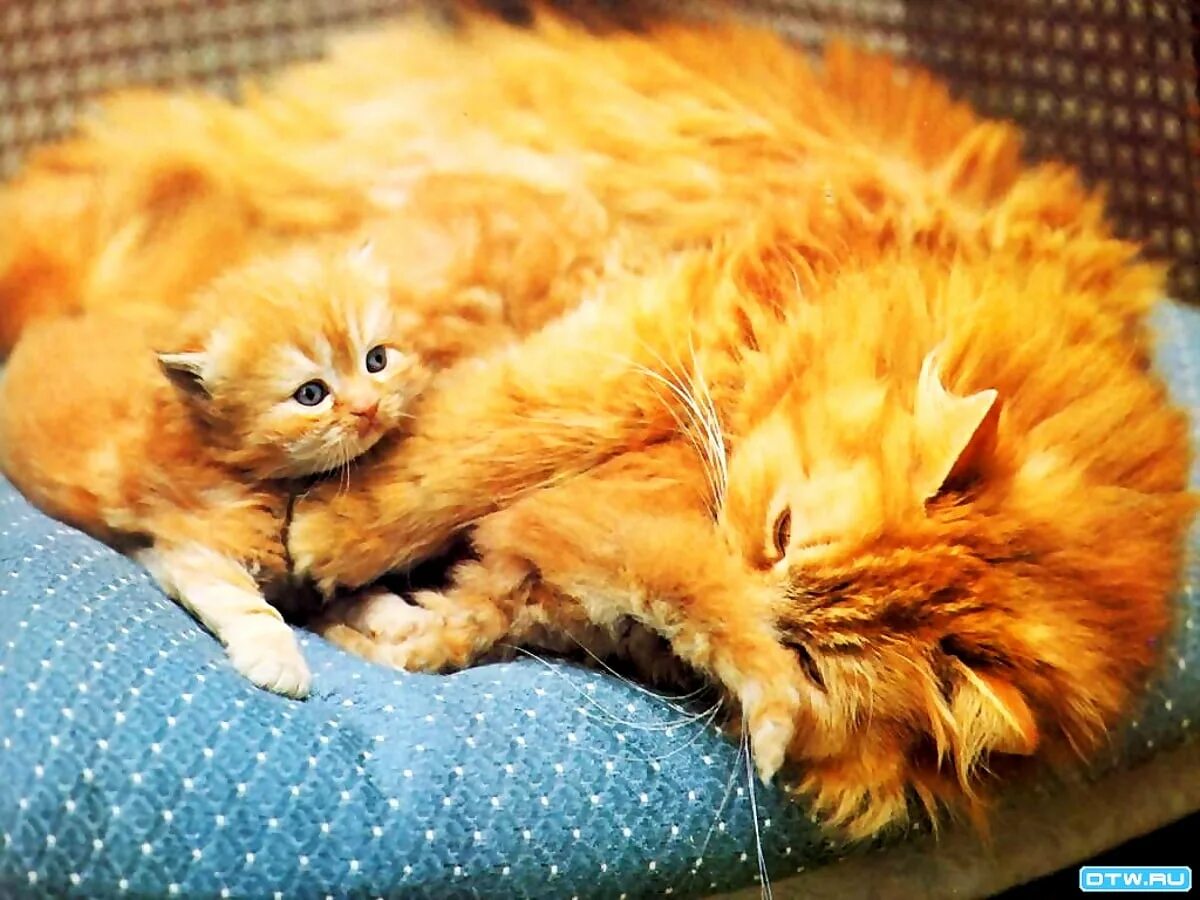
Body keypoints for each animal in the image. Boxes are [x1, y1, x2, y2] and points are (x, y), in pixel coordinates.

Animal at [0, 240, 485, 695]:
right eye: (311, 394)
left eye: (377, 360)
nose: (368, 408)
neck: (285, 482)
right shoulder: (195, 549)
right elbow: (248, 607)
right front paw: (279, 663)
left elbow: (358, 591)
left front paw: (399, 615)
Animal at [270, 8, 1196, 838]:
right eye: (782, 532)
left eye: (808, 661)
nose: (722, 589)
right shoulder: (682, 323)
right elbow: (507, 434)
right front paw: (337, 533)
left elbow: (484, 607)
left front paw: (391, 625)